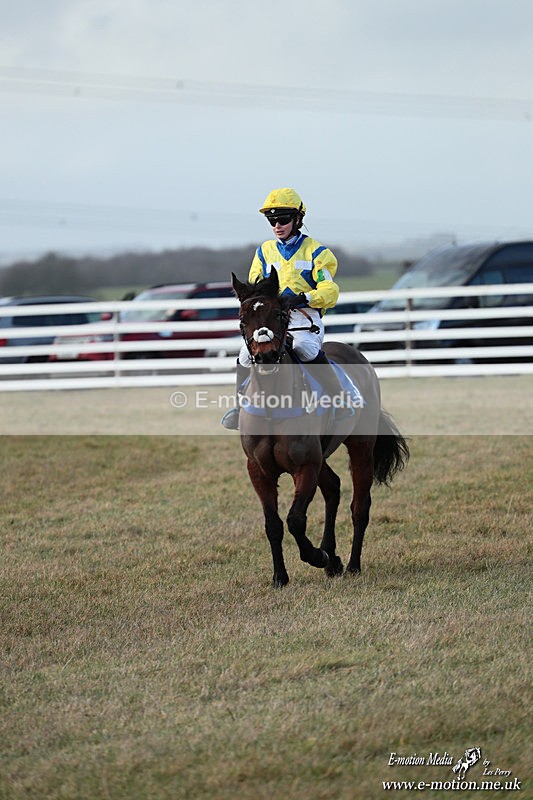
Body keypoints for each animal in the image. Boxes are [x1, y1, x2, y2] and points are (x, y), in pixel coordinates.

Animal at [232, 269, 409, 587]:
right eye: (242, 319)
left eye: (279, 314)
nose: (265, 356)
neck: (272, 406)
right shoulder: (259, 470)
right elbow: (273, 524)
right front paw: (280, 576)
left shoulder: (305, 466)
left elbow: (295, 520)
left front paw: (318, 556)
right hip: (322, 454)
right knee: (333, 487)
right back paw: (334, 558)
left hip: (360, 446)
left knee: (359, 507)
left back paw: (350, 564)